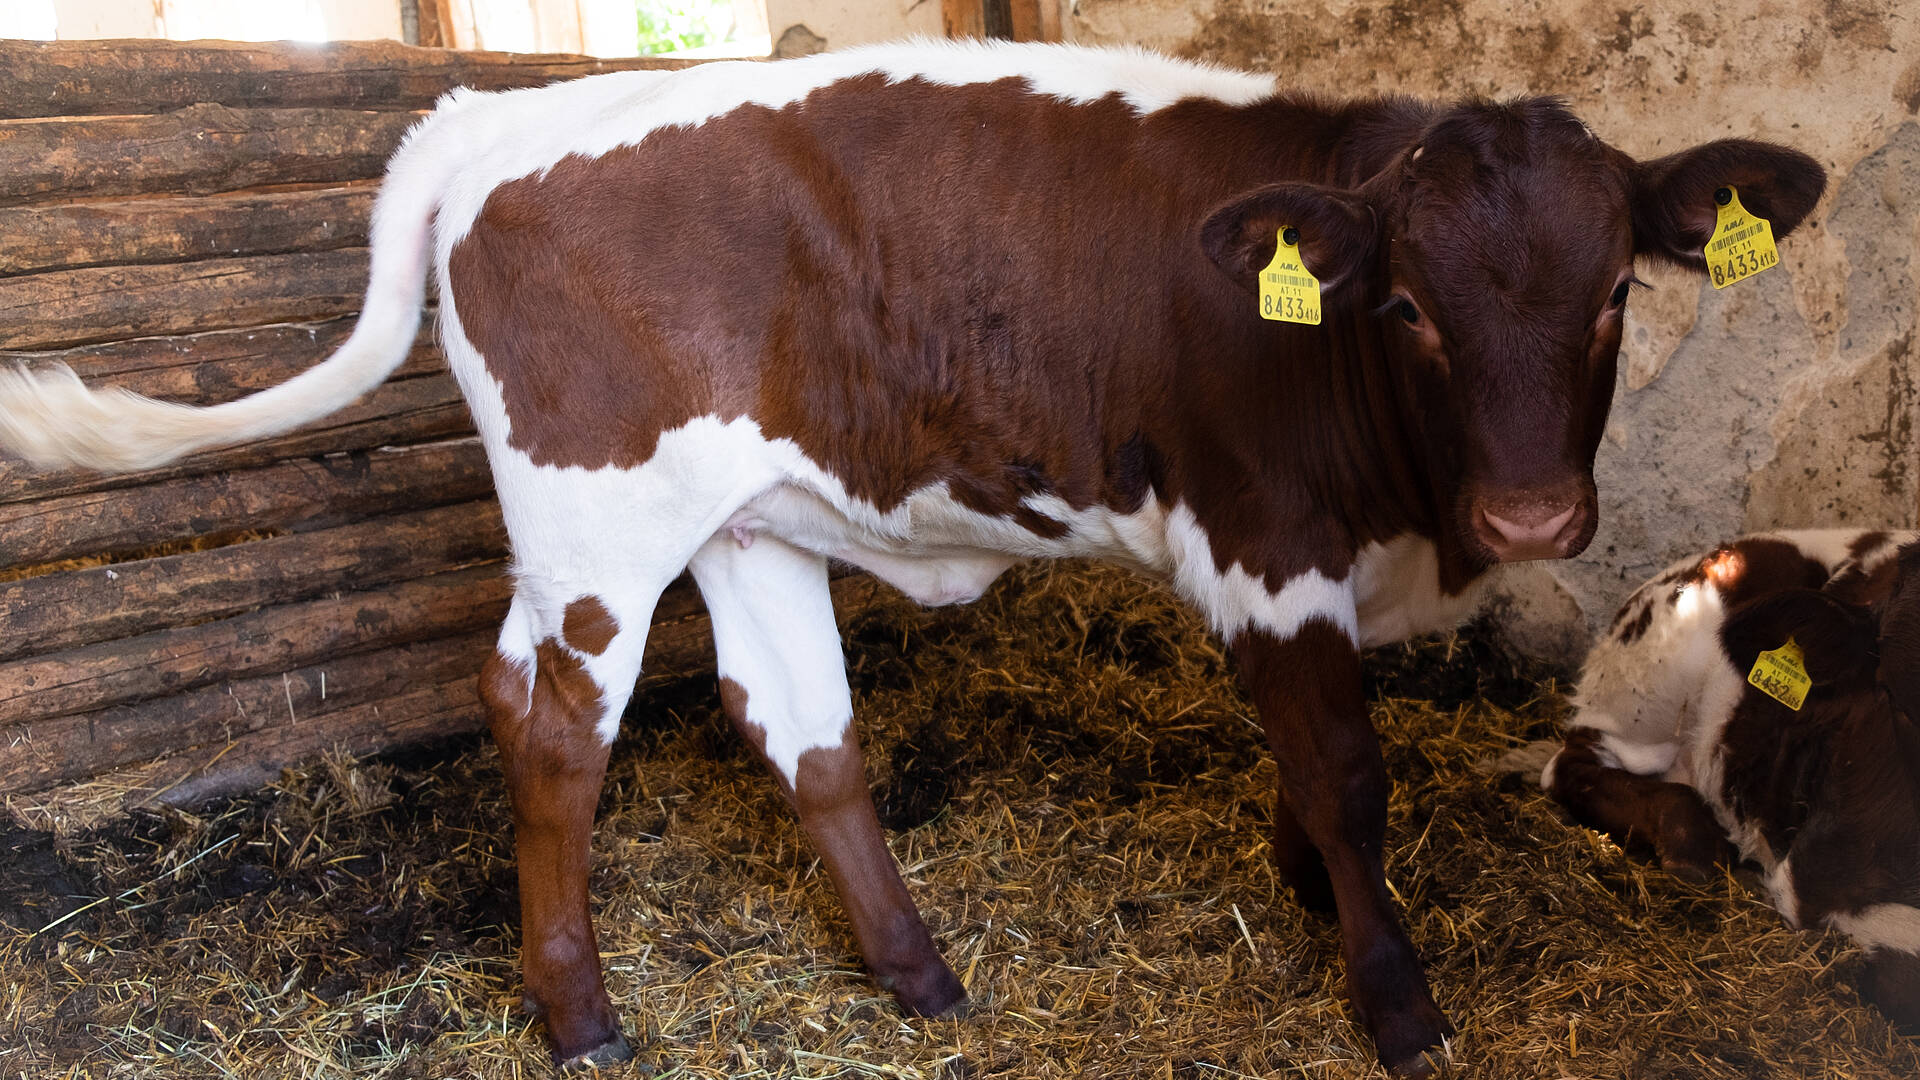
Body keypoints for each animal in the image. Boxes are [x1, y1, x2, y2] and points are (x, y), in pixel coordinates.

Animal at [0, 37, 1820, 1068]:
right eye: (1413, 310)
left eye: (1615, 294)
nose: (1533, 520)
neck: (1406, 515)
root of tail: (490, 121)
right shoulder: (1264, 547)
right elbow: (1346, 769)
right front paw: (1392, 998)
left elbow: (1314, 773)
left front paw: (1314, 899)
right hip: (594, 522)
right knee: (553, 727)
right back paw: (579, 1017)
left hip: (742, 523)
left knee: (804, 732)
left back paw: (917, 974)